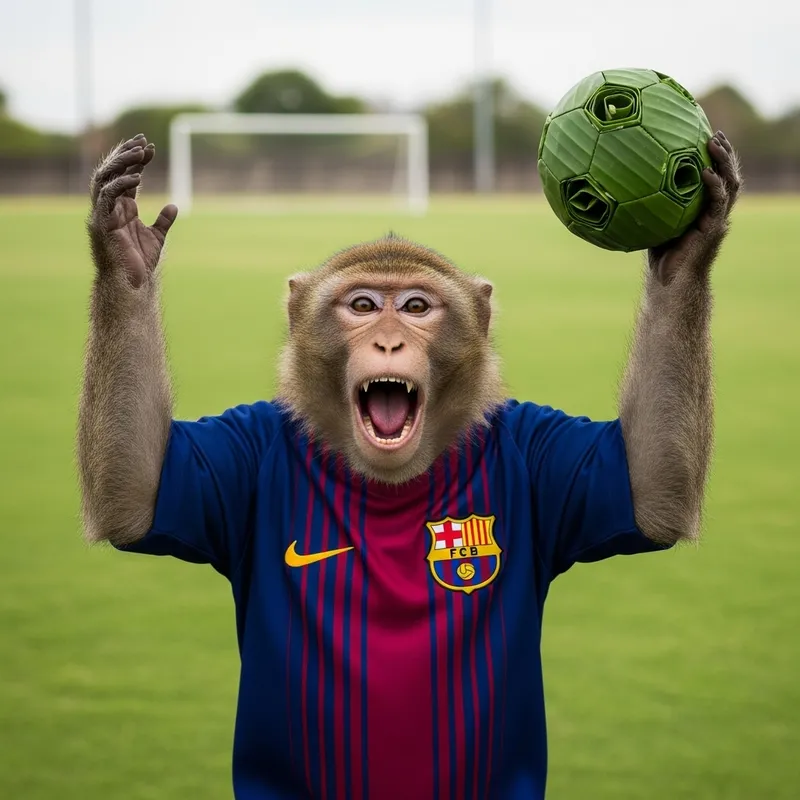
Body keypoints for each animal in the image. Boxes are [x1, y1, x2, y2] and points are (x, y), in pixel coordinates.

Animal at [77, 130, 741, 800]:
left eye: (417, 307)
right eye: (363, 305)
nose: (390, 340)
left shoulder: (542, 447)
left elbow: (652, 490)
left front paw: (684, 251)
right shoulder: (241, 447)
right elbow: (134, 497)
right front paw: (125, 252)